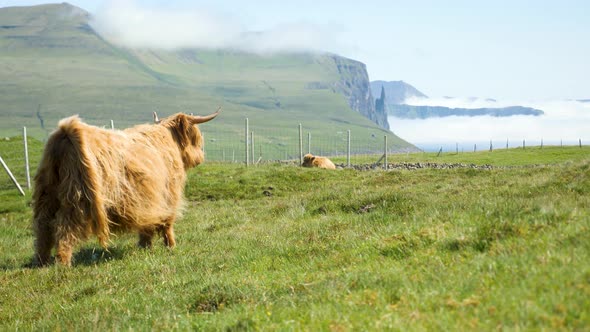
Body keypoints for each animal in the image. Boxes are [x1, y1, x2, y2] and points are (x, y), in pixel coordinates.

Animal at [31, 110, 220, 266]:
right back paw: (63, 262)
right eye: (196, 137)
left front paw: (145, 246)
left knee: (43, 226)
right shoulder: (169, 195)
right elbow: (167, 223)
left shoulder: (148, 202)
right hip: (78, 196)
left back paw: (42, 260)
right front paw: (170, 246)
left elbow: (147, 224)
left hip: (47, 193)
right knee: (65, 227)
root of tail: (66, 132)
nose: (200, 157)